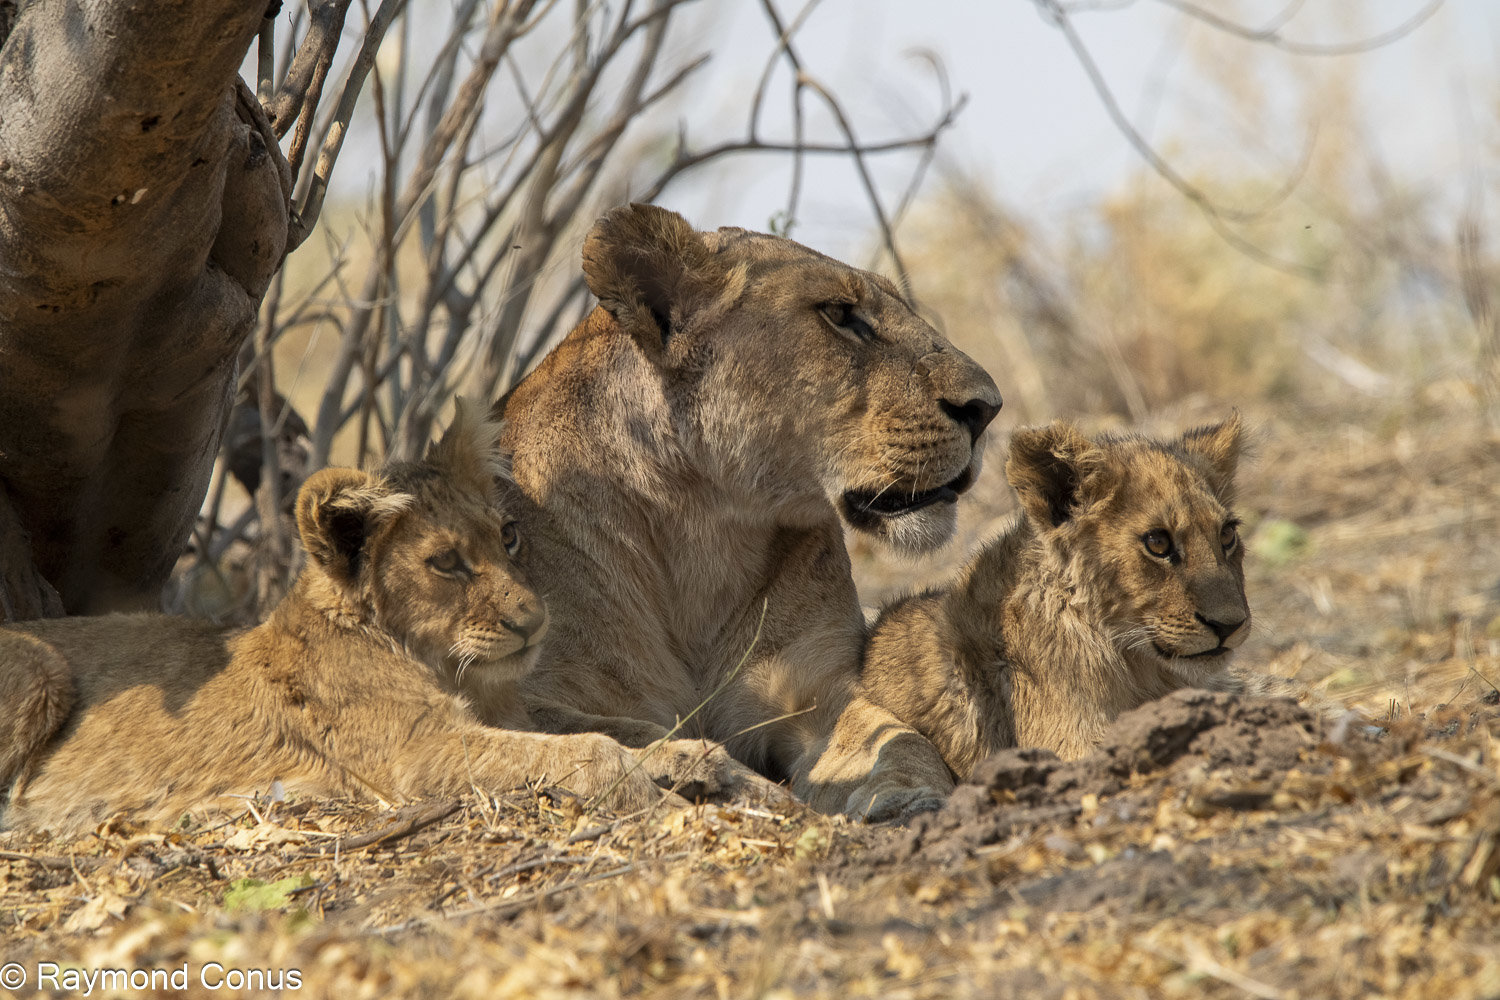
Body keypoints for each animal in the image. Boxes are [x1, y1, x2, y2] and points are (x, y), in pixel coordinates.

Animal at [0, 404, 685, 835]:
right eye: (446, 563)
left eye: (509, 536)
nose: (535, 622)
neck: (447, 668)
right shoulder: (418, 752)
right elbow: (586, 749)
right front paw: (648, 788)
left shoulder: (510, 712)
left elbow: (622, 728)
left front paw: (698, 761)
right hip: (42, 667)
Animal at [481, 204, 1004, 821]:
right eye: (841, 315)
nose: (988, 407)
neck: (700, 531)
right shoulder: (519, 692)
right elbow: (610, 731)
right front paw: (707, 774)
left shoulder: (817, 690)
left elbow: (898, 740)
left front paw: (904, 797)